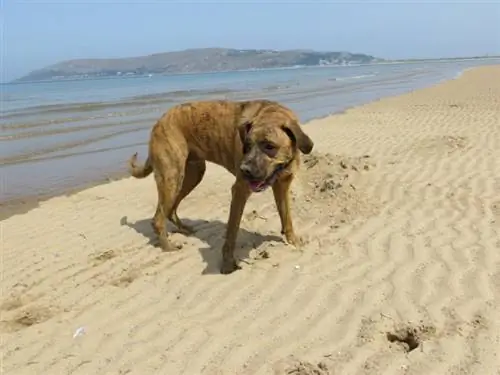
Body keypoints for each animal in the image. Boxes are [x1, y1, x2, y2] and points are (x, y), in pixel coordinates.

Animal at [129, 99, 312, 276]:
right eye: (246, 146)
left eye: (269, 146)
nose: (244, 170)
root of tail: (160, 120)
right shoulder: (239, 191)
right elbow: (232, 232)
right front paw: (228, 264)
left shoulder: (282, 186)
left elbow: (286, 217)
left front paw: (292, 240)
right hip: (172, 177)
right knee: (158, 218)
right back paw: (169, 247)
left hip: (192, 175)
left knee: (170, 210)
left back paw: (184, 229)